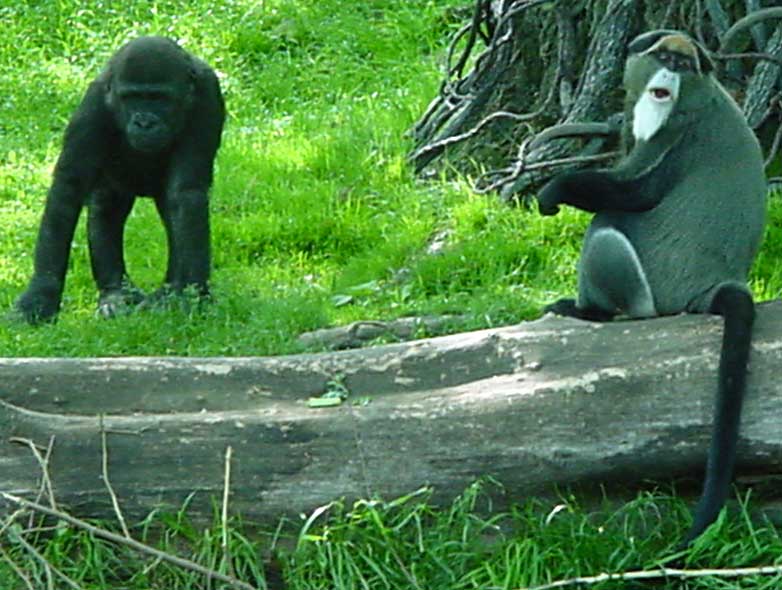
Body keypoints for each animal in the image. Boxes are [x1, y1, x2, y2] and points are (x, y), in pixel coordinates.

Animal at [536, 30, 767, 546]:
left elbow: (632, 194)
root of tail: (715, 285)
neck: (695, 96)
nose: (670, 72)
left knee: (607, 227)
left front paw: (552, 190)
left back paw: (593, 311)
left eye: (684, 63)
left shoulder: (674, 139)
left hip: (656, 287)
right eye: (663, 56)